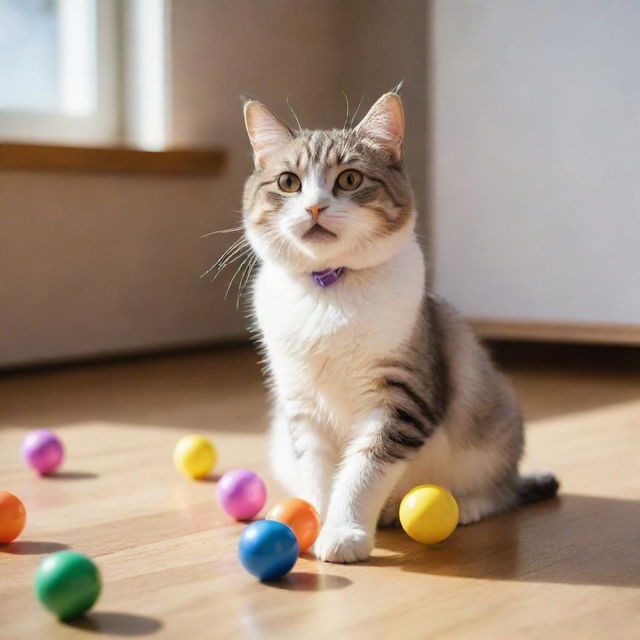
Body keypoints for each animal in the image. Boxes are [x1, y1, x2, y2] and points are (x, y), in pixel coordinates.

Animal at [238, 91, 556, 564]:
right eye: (289, 183)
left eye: (350, 179)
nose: (314, 206)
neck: (331, 289)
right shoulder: (301, 405)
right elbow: (318, 473)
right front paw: (314, 523)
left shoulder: (402, 401)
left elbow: (363, 471)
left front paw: (344, 532)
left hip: (494, 420)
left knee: (502, 488)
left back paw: (467, 506)